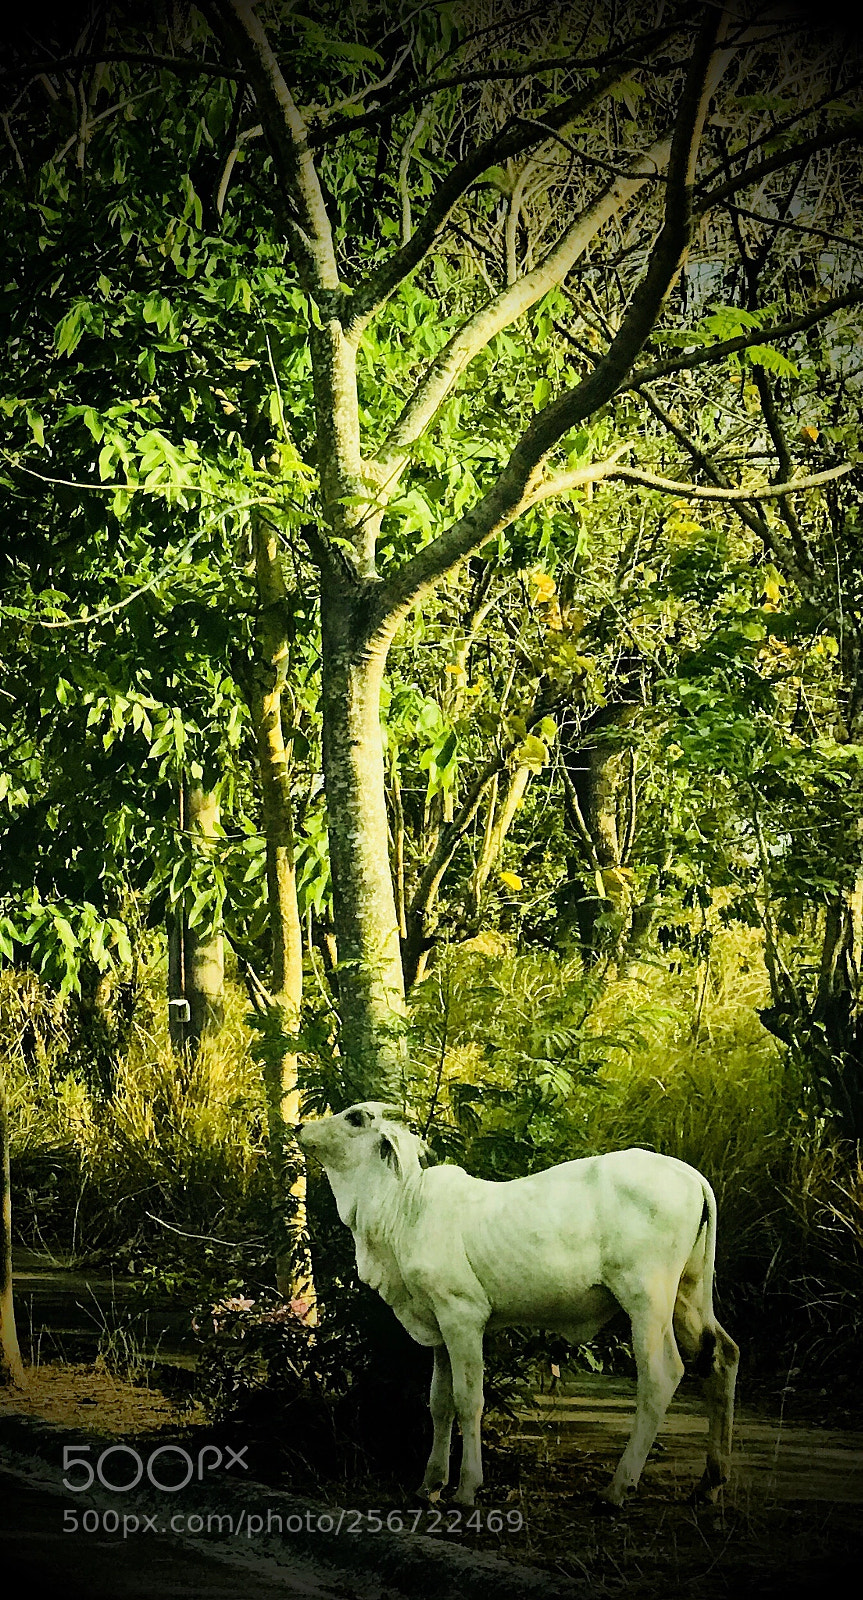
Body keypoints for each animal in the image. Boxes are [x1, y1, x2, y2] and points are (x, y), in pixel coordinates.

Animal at [295, 1102, 739, 1508]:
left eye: (355, 1118)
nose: (300, 1127)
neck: (402, 1209)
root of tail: (691, 1175)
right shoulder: (438, 1324)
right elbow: (439, 1403)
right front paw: (429, 1485)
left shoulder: (463, 1316)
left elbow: (468, 1401)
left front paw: (466, 1488)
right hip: (688, 1293)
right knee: (723, 1356)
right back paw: (710, 1483)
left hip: (647, 1298)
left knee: (662, 1376)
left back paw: (618, 1488)